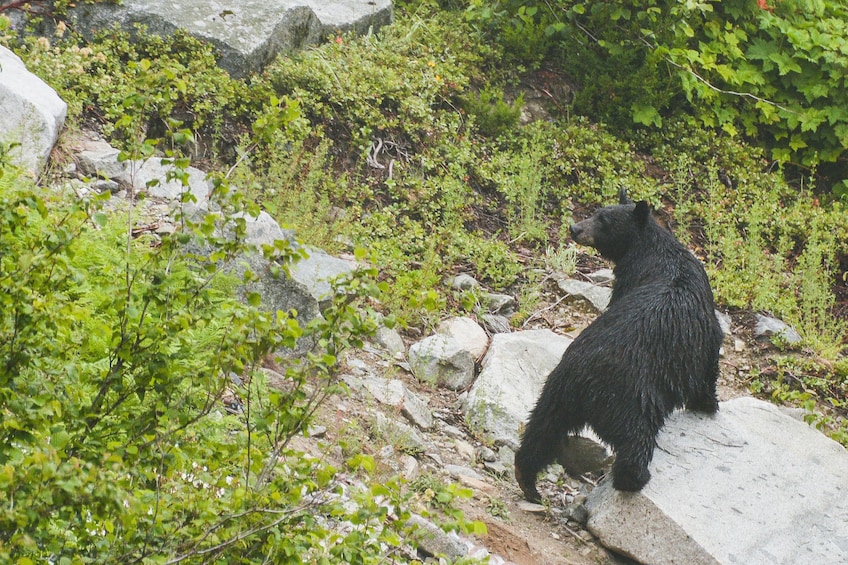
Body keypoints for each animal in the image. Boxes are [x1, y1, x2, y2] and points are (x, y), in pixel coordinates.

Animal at [512, 191, 720, 502]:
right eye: (596, 214)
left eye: (603, 219)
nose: (575, 228)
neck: (652, 252)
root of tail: (580, 378)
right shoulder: (700, 330)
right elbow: (709, 359)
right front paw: (709, 403)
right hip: (631, 399)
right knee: (636, 440)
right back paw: (636, 479)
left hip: (554, 394)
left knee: (541, 431)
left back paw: (527, 481)